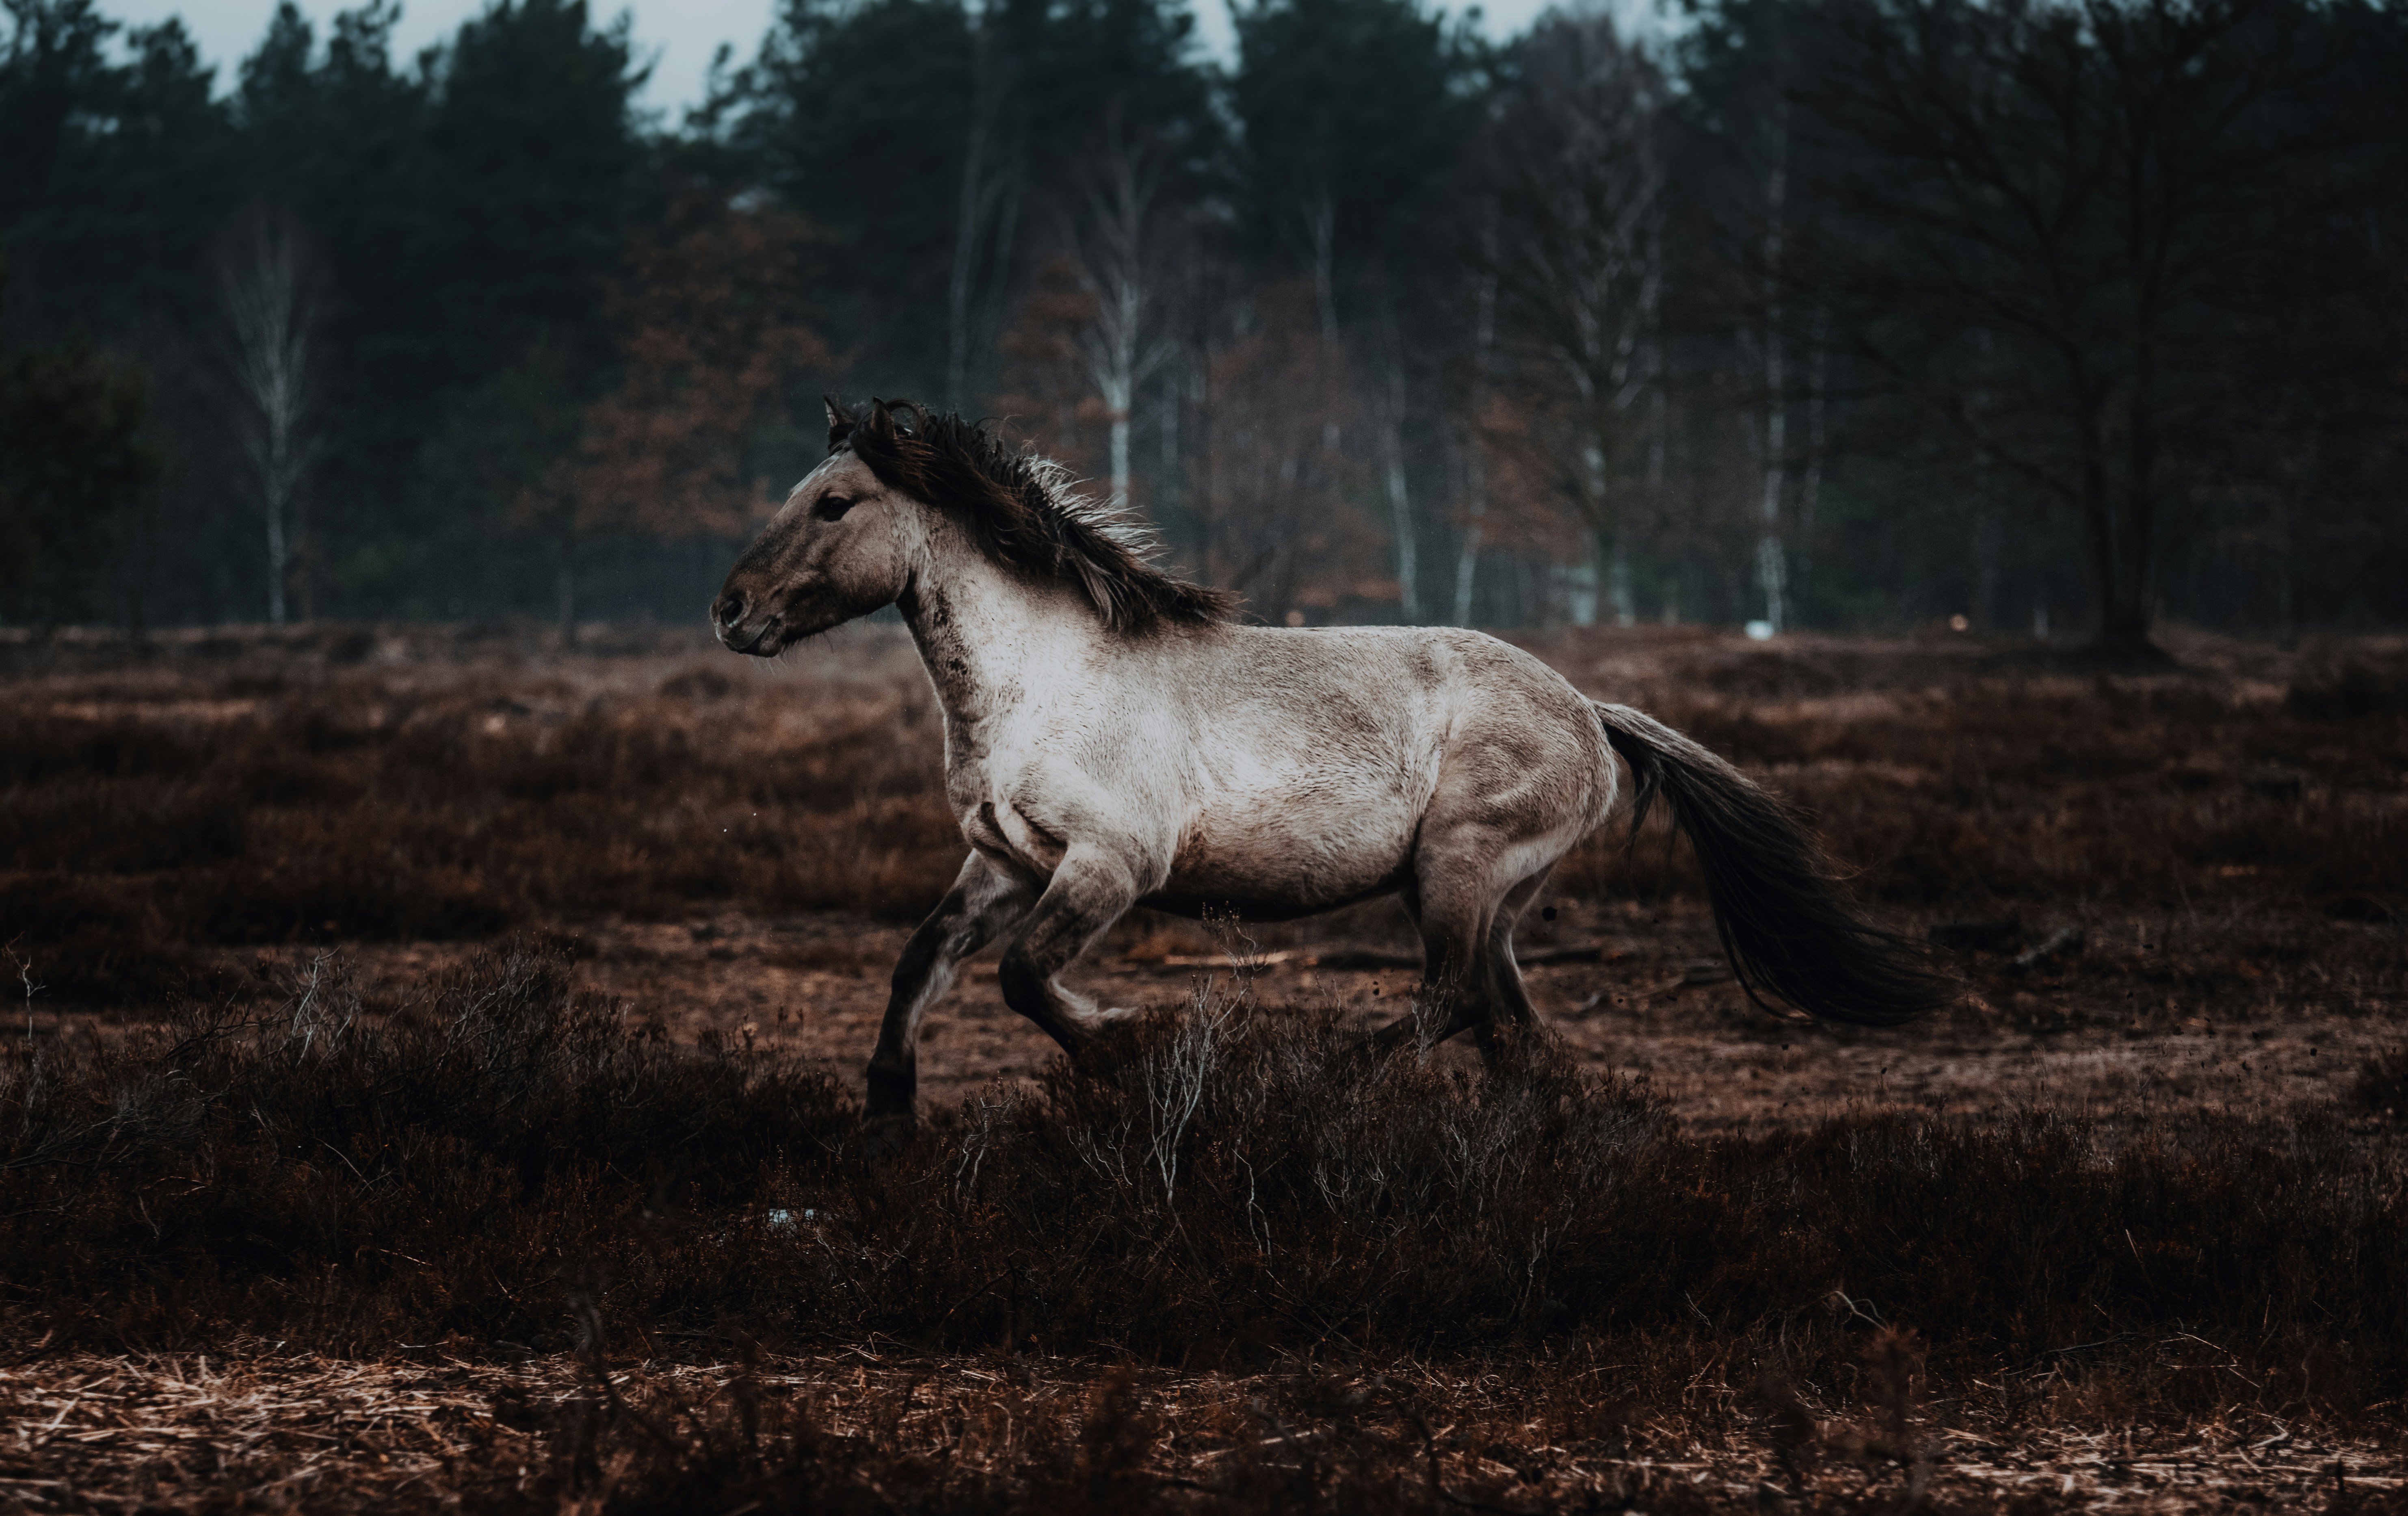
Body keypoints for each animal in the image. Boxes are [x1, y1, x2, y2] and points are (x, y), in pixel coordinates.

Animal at [712, 397, 1949, 1126]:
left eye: (834, 504)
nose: (730, 612)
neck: (1047, 684)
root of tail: (1593, 715)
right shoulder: (1004, 863)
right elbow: (921, 964)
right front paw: (888, 1113)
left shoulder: (1110, 865)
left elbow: (1024, 977)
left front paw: (1126, 1044)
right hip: (1491, 896)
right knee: (1510, 1026)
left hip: (1459, 869)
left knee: (1452, 999)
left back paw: (1315, 1084)